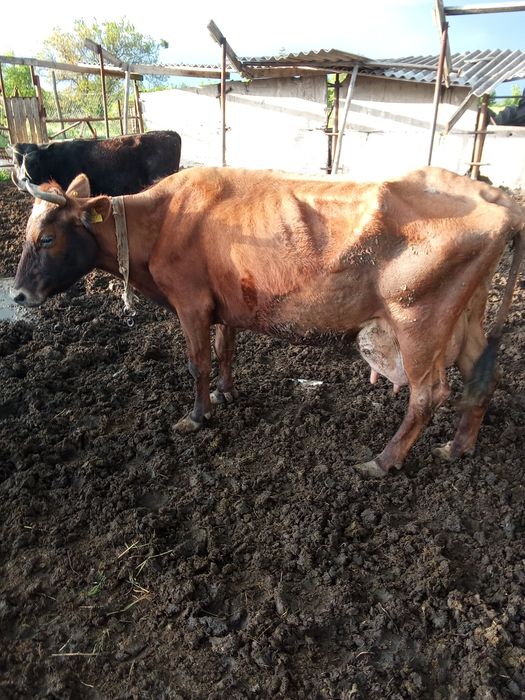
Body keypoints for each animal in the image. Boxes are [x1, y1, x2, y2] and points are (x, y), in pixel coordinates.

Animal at [10, 166, 525, 477]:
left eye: (47, 237)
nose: (17, 294)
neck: (161, 220)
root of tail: (496, 197)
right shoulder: (223, 302)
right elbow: (225, 349)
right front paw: (226, 392)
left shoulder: (190, 302)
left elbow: (197, 363)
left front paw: (196, 416)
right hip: (466, 317)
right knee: (483, 377)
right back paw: (458, 447)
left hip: (419, 320)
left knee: (428, 393)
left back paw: (383, 460)